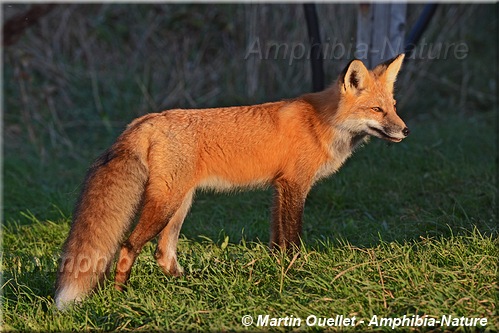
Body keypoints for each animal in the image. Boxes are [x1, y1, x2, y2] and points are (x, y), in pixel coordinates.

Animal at [54, 52, 410, 308]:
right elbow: (293, 239)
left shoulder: (278, 188)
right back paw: (121, 296)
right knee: (129, 246)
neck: (320, 123)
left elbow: (277, 242)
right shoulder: (294, 185)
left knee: (163, 254)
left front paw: (278, 274)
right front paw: (299, 273)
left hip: (180, 204)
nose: (406, 130)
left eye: (394, 107)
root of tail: (145, 120)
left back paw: (188, 286)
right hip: (166, 204)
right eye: (377, 110)